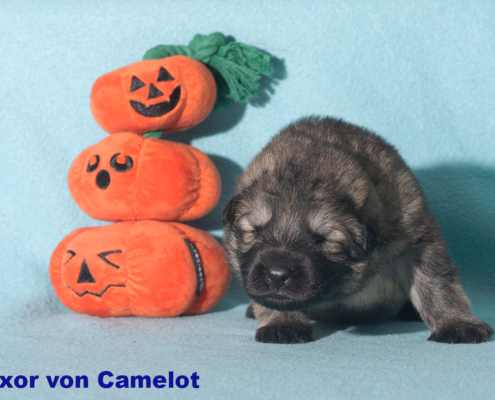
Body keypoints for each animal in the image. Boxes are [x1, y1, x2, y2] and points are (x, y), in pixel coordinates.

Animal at [222, 116, 493, 344]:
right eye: (256, 231)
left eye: (321, 239)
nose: (277, 275)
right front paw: (283, 322)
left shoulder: (414, 236)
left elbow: (435, 281)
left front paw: (456, 322)